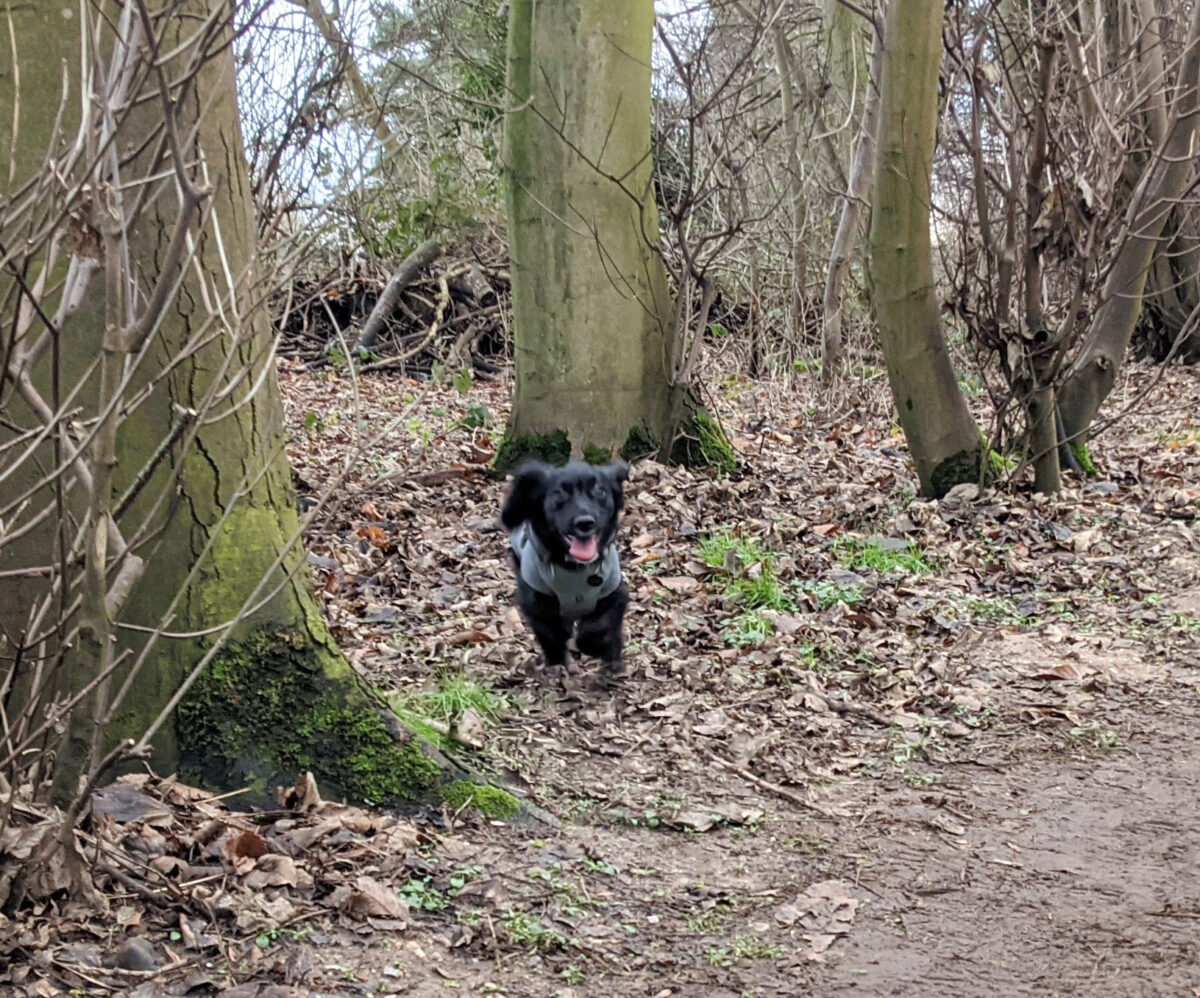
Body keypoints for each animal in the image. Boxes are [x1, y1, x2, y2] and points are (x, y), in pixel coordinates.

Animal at [499, 460, 633, 676]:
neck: (575, 568)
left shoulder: (614, 592)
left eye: (599, 491)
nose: (585, 523)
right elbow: (551, 633)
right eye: (559, 493)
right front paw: (557, 661)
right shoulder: (535, 601)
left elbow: (600, 627)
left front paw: (597, 647)